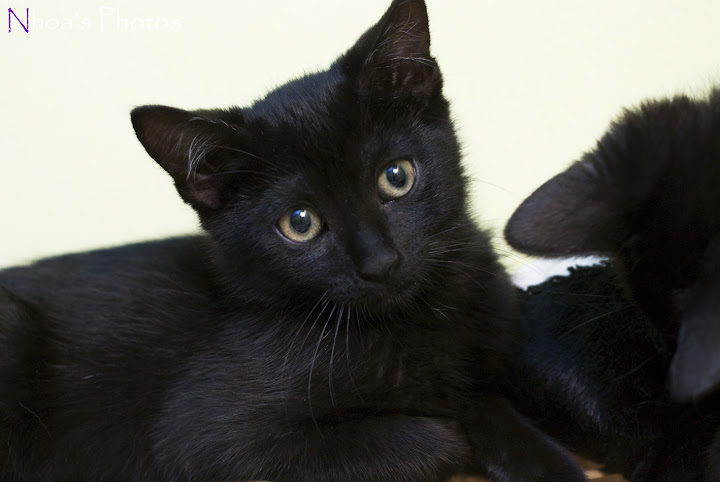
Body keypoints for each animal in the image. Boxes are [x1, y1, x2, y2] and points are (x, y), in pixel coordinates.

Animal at [0, 1, 584, 480]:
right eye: (299, 223)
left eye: (396, 176)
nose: (381, 262)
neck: (412, 319)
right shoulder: (208, 444)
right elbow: (440, 433)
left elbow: (488, 399)